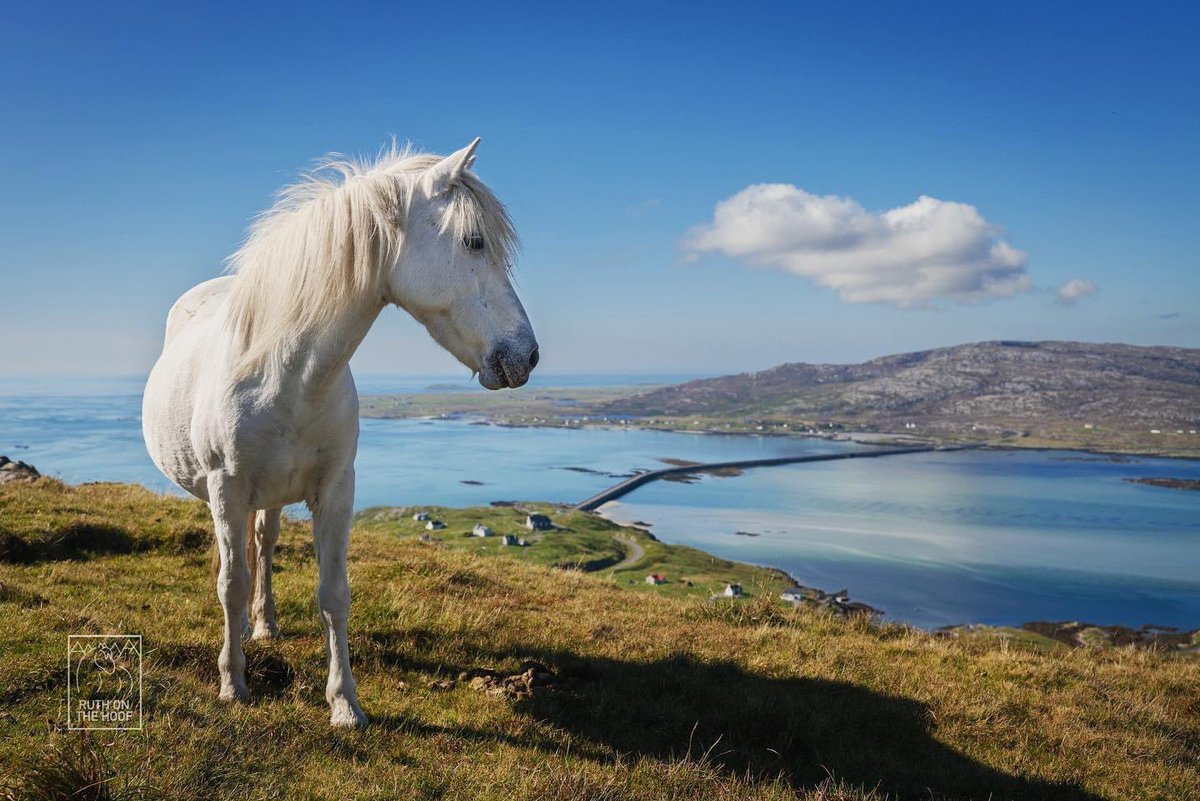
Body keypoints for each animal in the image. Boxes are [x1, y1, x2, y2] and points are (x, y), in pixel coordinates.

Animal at [141, 137, 540, 724]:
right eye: (473, 242)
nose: (526, 356)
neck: (285, 373)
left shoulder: (335, 489)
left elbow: (333, 595)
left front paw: (345, 703)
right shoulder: (226, 488)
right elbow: (231, 585)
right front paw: (233, 684)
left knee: (264, 544)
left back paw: (265, 625)